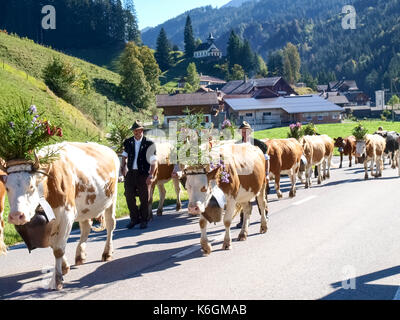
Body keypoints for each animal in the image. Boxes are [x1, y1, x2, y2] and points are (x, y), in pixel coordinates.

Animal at [1, 142, 120, 290]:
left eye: (31, 186)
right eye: (7, 188)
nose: (17, 216)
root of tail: (109, 149)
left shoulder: (66, 215)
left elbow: (58, 249)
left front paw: (57, 279)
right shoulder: (51, 221)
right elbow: (54, 244)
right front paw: (64, 267)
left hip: (111, 200)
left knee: (110, 225)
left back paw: (107, 253)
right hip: (84, 208)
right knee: (86, 227)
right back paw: (80, 255)